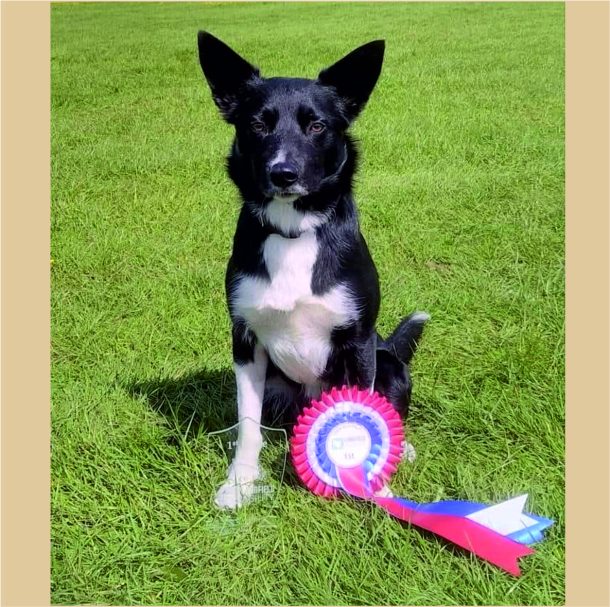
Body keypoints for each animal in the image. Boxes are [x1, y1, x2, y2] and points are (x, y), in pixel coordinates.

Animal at [197, 32, 429, 508]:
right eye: (257, 124)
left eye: (317, 126)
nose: (283, 173)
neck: (294, 231)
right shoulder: (245, 343)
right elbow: (248, 425)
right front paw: (240, 483)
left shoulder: (358, 341)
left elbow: (363, 415)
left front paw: (374, 489)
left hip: (387, 360)